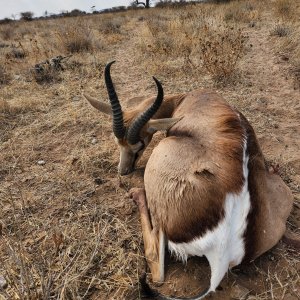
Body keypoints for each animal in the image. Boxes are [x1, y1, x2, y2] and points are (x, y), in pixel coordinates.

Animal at [83, 62, 294, 298]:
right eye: (117, 142)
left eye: (138, 146)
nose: (124, 171)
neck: (193, 99)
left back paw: (137, 194)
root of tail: (222, 257)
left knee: (156, 264)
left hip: (161, 168)